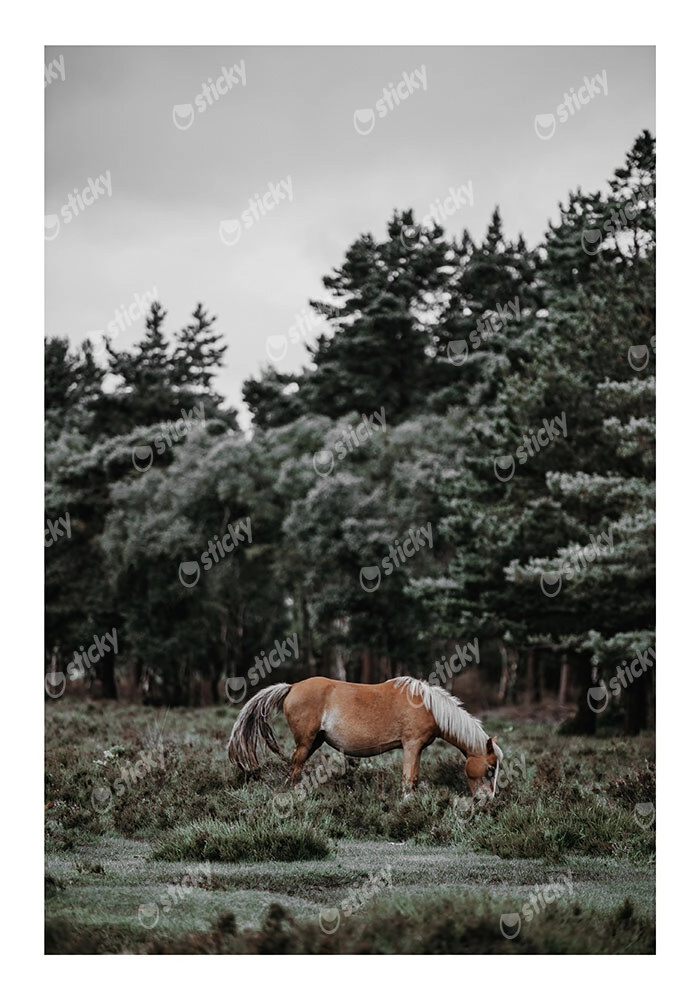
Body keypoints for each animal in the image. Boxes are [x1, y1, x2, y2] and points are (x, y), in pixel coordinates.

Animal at [227, 675, 503, 797]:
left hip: (315, 741)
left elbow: (412, 779)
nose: (487, 800)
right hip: (305, 743)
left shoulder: (417, 749)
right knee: (296, 770)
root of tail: (292, 686)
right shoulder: (411, 746)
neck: (427, 706)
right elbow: (408, 780)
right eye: (490, 769)